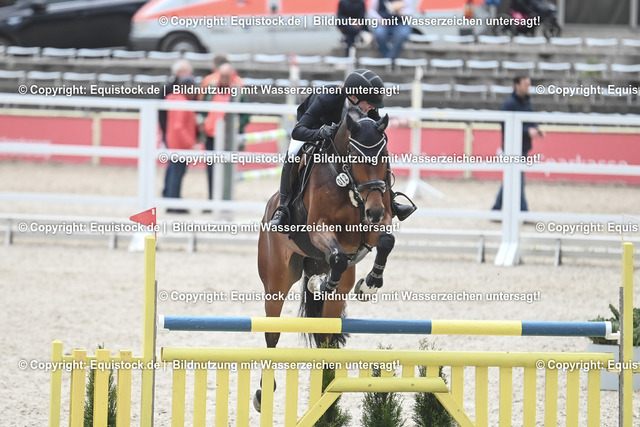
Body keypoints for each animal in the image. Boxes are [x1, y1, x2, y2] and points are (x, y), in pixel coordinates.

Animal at [254, 106, 396, 410]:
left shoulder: (372, 227)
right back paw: (263, 393)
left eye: (384, 157)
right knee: (272, 333)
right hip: (276, 281)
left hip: (334, 294)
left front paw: (370, 284)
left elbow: (386, 241)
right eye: (356, 156)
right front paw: (321, 284)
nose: (375, 211)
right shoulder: (319, 228)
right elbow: (339, 258)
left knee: (325, 337)